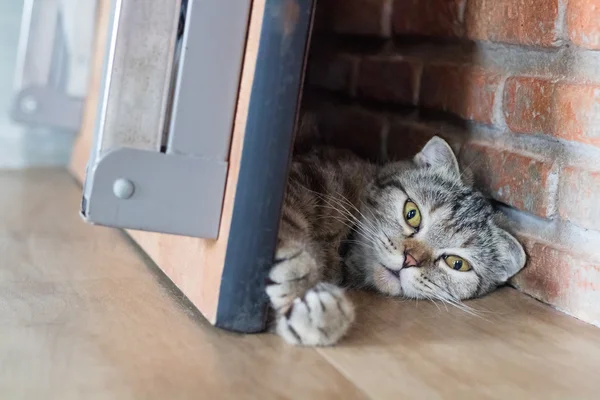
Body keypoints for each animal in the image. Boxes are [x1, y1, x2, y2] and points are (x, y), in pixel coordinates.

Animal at [268, 136, 524, 346]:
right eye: (412, 213)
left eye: (456, 263)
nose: (409, 259)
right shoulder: (301, 179)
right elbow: (285, 219)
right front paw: (298, 278)